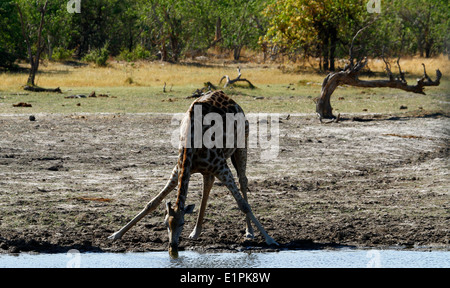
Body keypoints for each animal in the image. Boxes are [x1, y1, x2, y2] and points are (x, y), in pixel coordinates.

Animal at [109, 90, 278, 258]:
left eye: (182, 223)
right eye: (165, 223)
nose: (172, 246)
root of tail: (231, 99)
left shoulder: (221, 167)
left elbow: (243, 205)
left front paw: (270, 240)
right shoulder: (179, 168)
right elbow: (153, 202)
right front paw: (116, 234)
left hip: (242, 145)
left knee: (243, 181)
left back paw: (249, 232)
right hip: (208, 168)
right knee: (208, 184)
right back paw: (196, 232)